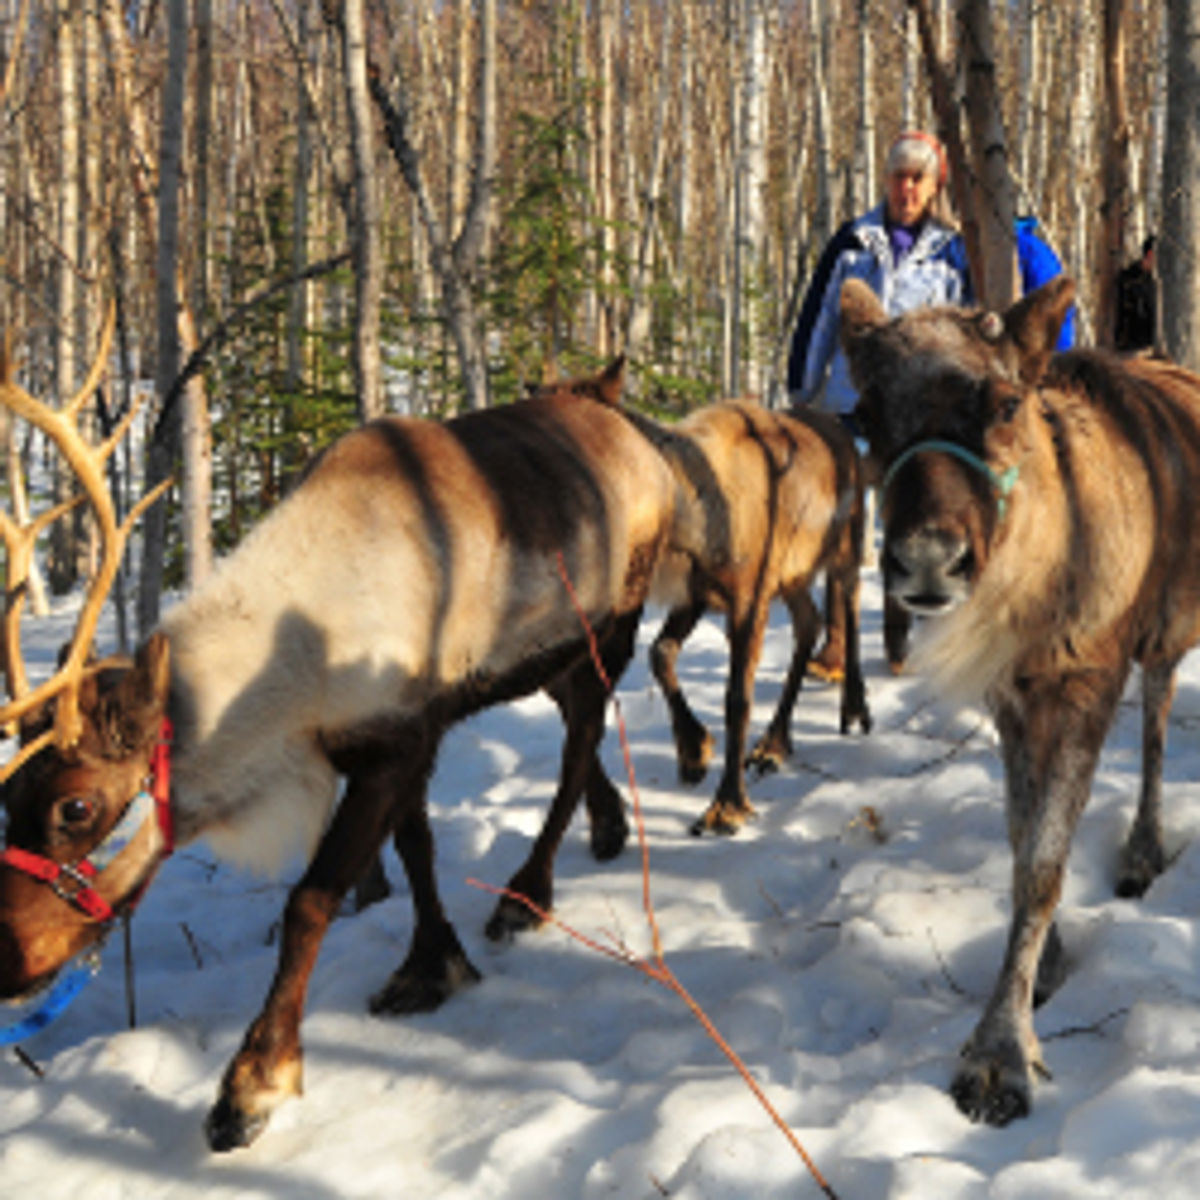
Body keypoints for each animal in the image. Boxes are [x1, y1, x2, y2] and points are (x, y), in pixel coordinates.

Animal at [0, 315, 680, 1152]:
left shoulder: (395, 743)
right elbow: (415, 847)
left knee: (580, 739)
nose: (4, 964)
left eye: (76, 807)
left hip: (611, 623)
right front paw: (433, 963)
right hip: (551, 653)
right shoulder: (407, 738)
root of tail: (624, 421)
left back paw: (527, 895)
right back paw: (608, 826)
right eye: (9, 795)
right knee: (571, 720)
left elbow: (311, 898)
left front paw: (251, 1086)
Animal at [839, 274, 1200, 1128]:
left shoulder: (1089, 679)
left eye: (1006, 402)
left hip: (1168, 631)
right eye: (862, 415)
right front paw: (1047, 964)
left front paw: (999, 1054)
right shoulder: (1012, 695)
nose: (927, 561)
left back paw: (1143, 851)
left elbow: (1043, 863)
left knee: (1159, 716)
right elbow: (1020, 835)